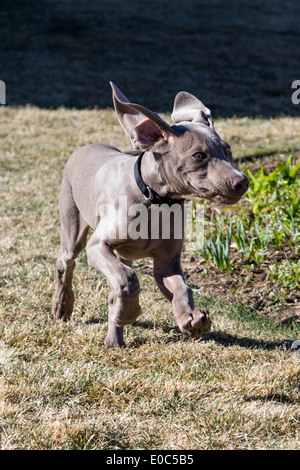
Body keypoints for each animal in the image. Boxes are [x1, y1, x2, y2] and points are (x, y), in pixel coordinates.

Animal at [52, 82, 248, 346]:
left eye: (228, 151)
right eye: (199, 156)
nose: (242, 182)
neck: (155, 201)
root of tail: (86, 147)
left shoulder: (167, 262)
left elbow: (181, 289)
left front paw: (191, 319)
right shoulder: (98, 246)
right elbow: (128, 279)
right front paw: (129, 313)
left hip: (120, 253)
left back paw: (114, 338)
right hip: (73, 226)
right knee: (67, 263)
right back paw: (63, 306)